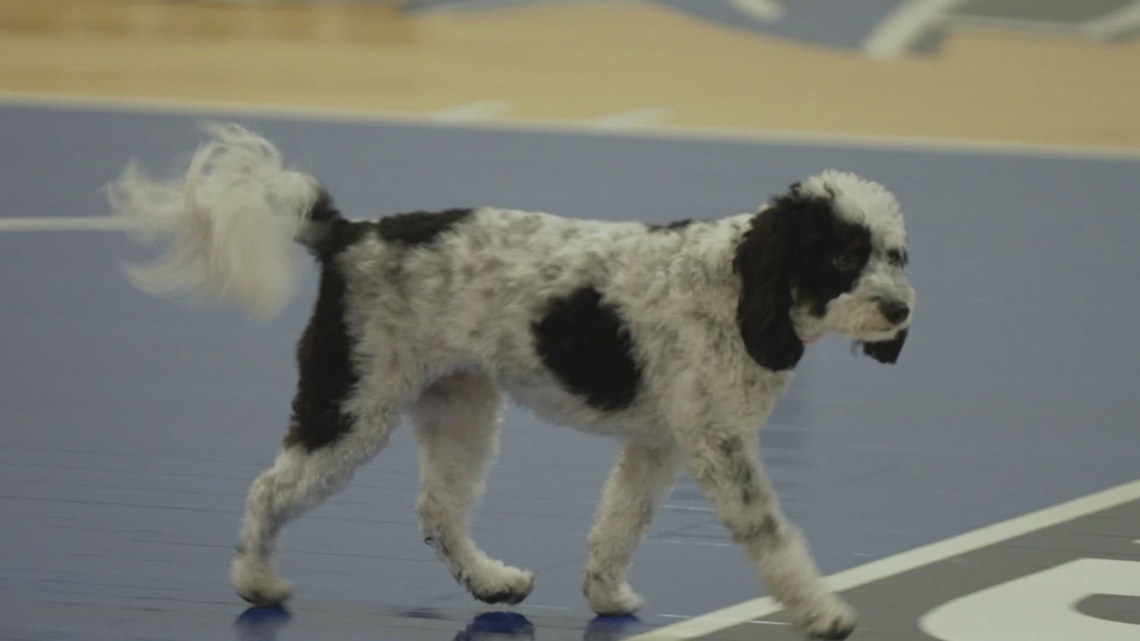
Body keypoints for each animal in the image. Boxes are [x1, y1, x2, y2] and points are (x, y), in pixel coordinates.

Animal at [108, 122, 916, 634]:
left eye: (896, 254)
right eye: (842, 256)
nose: (901, 310)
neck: (737, 286)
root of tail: (349, 233)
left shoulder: (659, 446)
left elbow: (618, 524)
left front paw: (604, 594)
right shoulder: (719, 448)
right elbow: (772, 536)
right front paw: (821, 611)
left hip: (459, 408)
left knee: (438, 511)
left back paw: (491, 580)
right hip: (350, 405)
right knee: (269, 489)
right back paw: (256, 581)